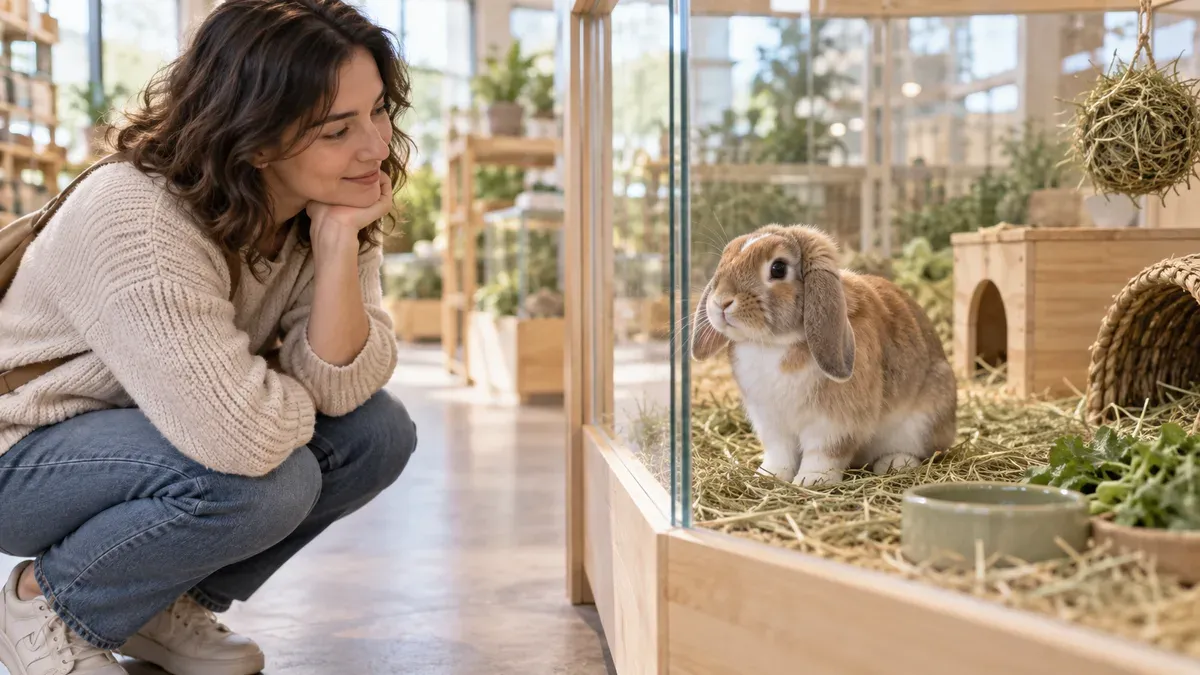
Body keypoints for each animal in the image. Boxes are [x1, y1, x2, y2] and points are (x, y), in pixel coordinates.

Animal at [690, 223, 956, 486]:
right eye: (725, 259)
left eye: (778, 268)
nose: (721, 302)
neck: (775, 344)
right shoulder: (770, 421)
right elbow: (779, 452)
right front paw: (768, 475)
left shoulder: (834, 422)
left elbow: (825, 453)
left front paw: (811, 480)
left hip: (922, 421)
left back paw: (894, 464)